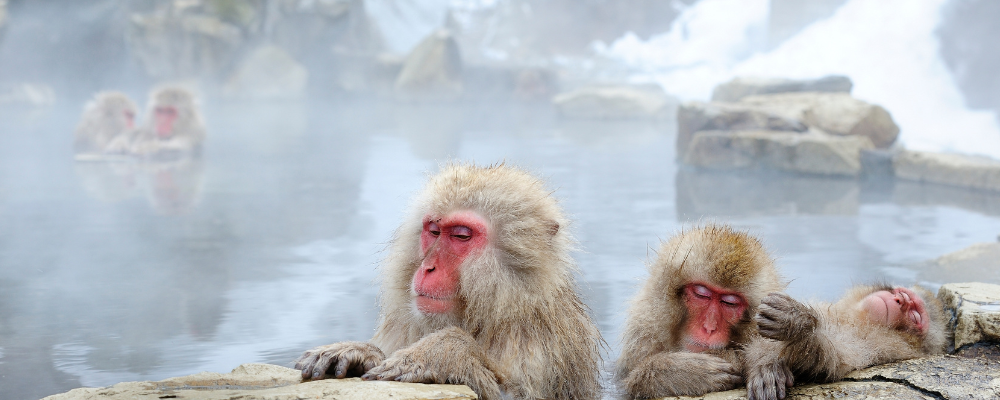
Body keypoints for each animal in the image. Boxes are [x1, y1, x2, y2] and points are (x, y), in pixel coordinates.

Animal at [295, 163, 603, 400]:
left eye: (461, 235)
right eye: (433, 230)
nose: (427, 267)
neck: (496, 310)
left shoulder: (542, 341)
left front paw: (445, 352)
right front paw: (360, 352)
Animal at [614, 224, 785, 399]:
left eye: (729, 303)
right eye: (701, 294)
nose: (709, 328)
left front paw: (764, 360)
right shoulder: (645, 330)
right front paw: (684, 372)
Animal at [744, 284, 950, 400]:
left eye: (915, 315)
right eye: (902, 294)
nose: (900, 300)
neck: (858, 318)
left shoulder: (883, 343)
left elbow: (835, 358)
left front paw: (797, 324)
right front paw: (767, 365)